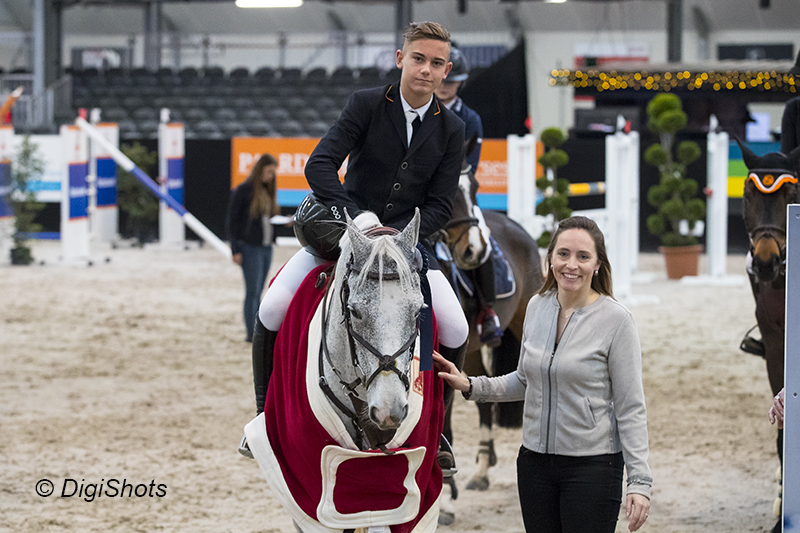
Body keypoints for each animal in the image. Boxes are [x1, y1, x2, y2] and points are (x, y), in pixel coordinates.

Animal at [434, 161, 548, 520]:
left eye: (475, 187)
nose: (474, 250)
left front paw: (445, 497)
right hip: (470, 350)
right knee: (482, 398)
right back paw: (482, 470)